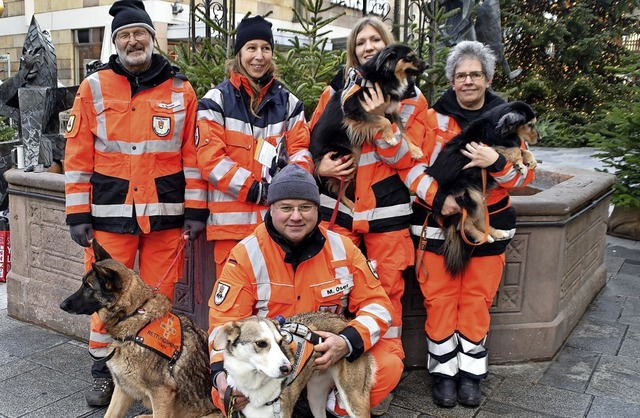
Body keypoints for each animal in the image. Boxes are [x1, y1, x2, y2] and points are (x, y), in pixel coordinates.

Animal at [60, 238, 220, 418]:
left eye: (88, 287)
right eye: (82, 284)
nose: (62, 305)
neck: (134, 317)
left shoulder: (161, 393)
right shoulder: (122, 389)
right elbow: (110, 414)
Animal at [215, 312, 376, 416]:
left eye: (280, 342)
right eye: (261, 343)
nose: (288, 368)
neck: (253, 384)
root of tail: (345, 320)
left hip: (354, 399)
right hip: (315, 397)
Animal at [308, 43, 424, 209]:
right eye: (409, 57)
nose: (427, 65)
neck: (382, 78)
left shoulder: (392, 110)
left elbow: (403, 131)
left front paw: (414, 150)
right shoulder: (354, 112)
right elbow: (384, 121)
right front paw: (390, 138)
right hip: (347, 159)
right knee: (338, 191)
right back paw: (352, 206)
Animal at [424, 101, 540, 276]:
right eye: (530, 124)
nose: (540, 138)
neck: (499, 128)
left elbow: (522, 148)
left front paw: (531, 160)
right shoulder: (491, 146)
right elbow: (516, 149)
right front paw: (520, 163)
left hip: (480, 196)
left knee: (480, 222)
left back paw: (496, 233)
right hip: (471, 194)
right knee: (464, 225)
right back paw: (482, 237)